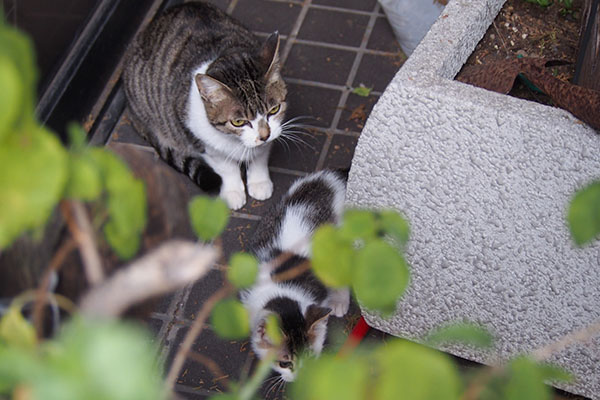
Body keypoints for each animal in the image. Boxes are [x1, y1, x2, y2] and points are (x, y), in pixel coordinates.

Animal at [122, 1, 286, 209]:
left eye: (274, 110)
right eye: (238, 122)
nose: (264, 135)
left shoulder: (273, 132)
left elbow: (259, 157)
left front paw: (259, 181)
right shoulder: (198, 139)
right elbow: (226, 168)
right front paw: (233, 191)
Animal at [240, 169, 352, 382]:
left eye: (309, 356)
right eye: (284, 363)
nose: (300, 376)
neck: (280, 286)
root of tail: (333, 177)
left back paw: (339, 301)